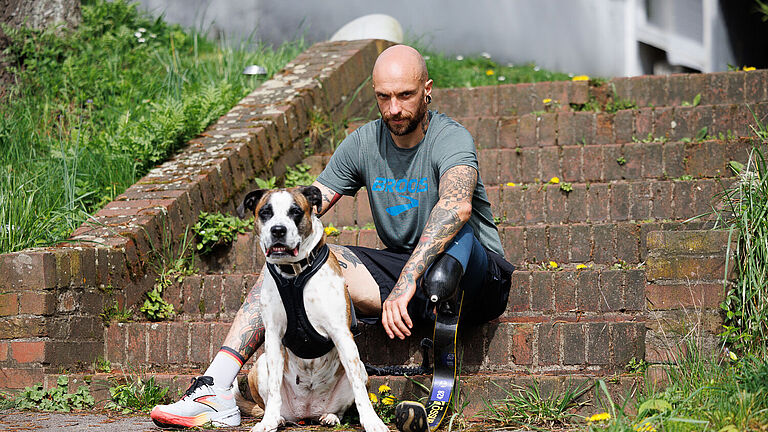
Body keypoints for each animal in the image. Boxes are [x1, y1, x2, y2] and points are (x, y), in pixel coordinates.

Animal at [234, 186, 390, 432]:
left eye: (296, 212)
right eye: (266, 212)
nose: (278, 230)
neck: (293, 274)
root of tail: (306, 413)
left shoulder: (342, 335)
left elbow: (359, 389)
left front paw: (372, 422)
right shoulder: (273, 337)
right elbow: (275, 387)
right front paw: (268, 422)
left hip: (361, 369)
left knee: (345, 401)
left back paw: (330, 416)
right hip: (259, 365)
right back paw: (277, 418)